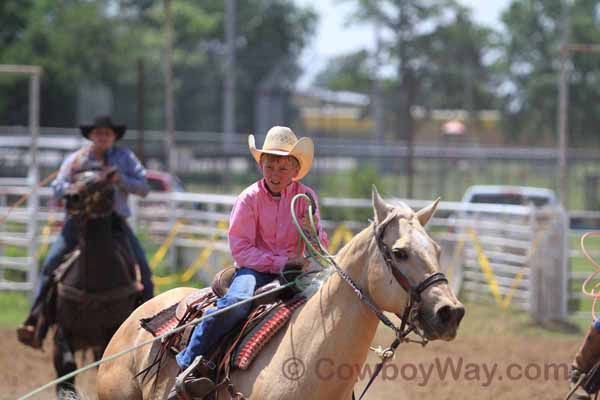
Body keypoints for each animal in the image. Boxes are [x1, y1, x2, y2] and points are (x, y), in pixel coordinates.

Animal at [51, 168, 141, 396]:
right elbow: (66, 367)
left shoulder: (110, 331)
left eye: (99, 183)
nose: (71, 197)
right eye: (74, 178)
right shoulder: (63, 330)